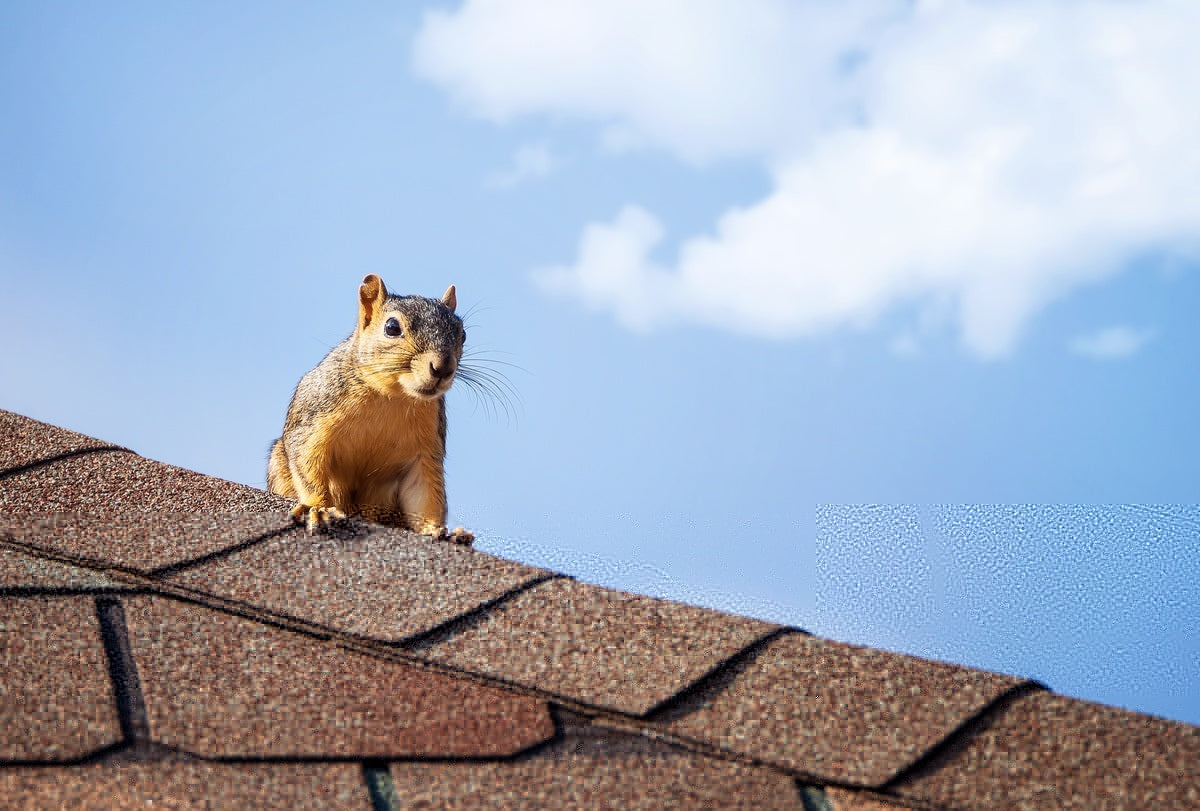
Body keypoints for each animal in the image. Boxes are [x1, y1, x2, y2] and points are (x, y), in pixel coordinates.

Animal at [267, 273, 472, 544]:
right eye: (392, 327)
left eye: (463, 334)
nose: (443, 368)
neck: (392, 397)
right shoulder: (314, 419)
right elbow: (308, 462)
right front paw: (318, 508)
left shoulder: (425, 451)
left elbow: (424, 493)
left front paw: (435, 530)